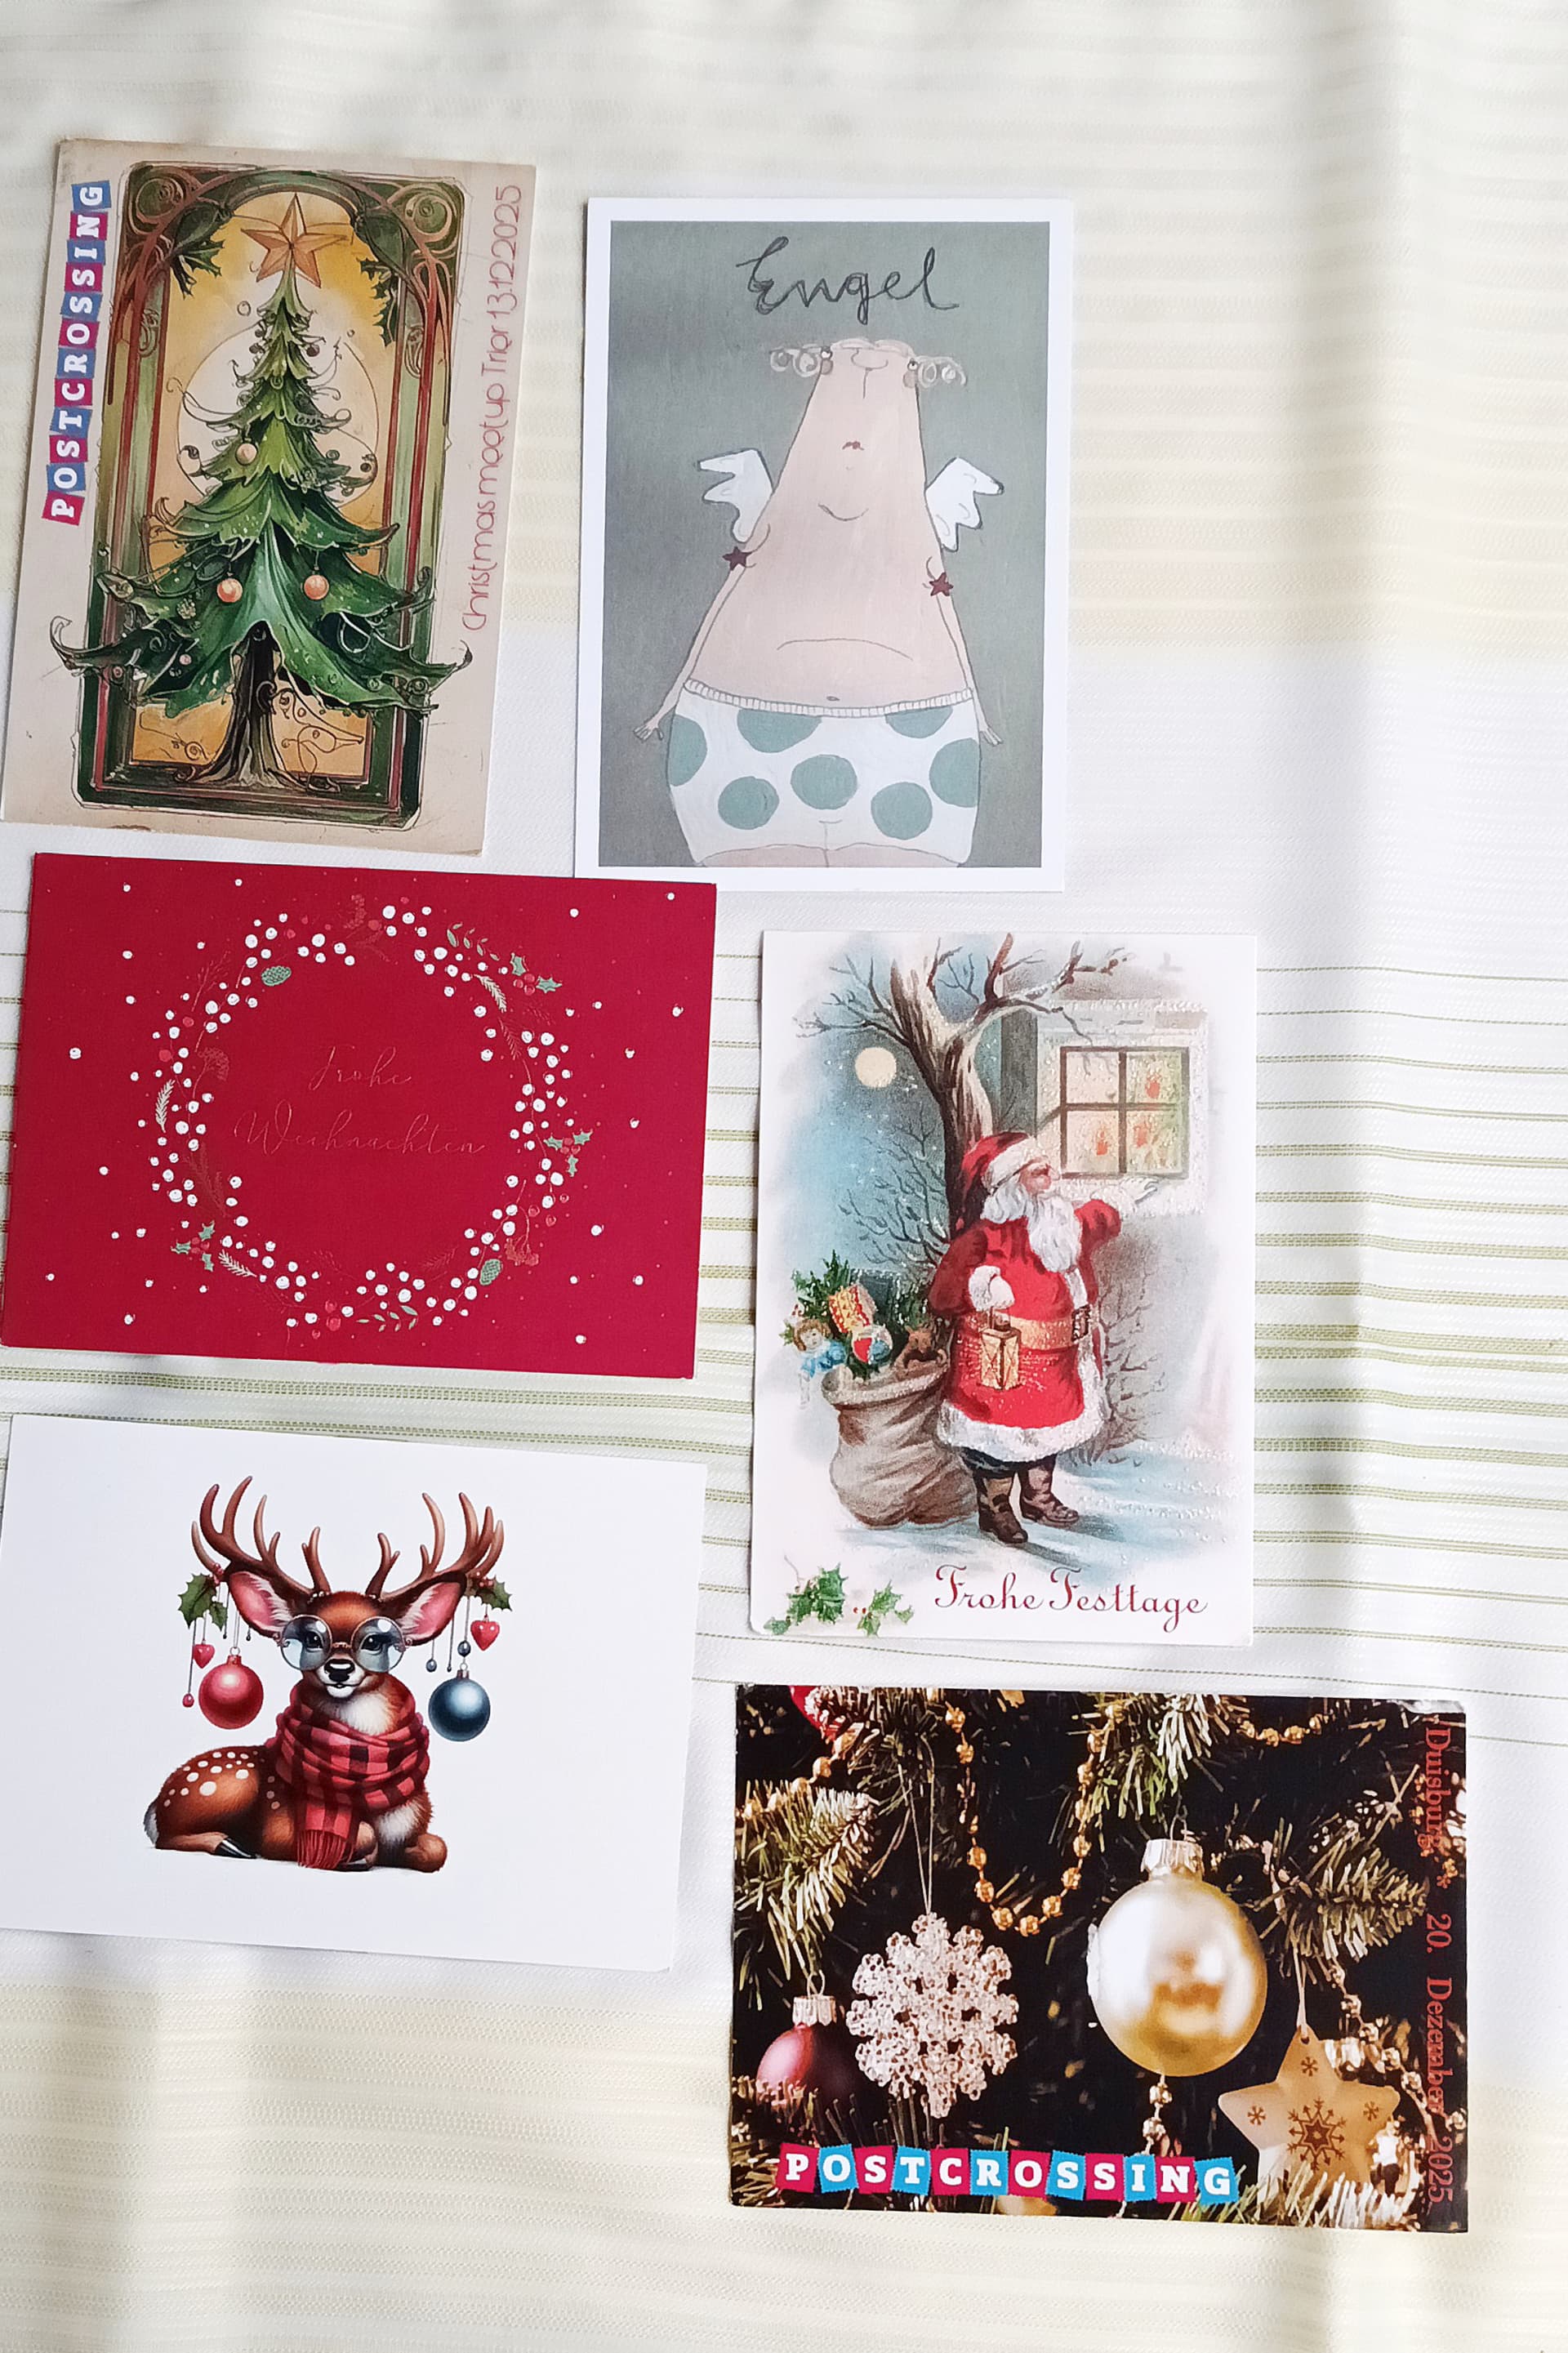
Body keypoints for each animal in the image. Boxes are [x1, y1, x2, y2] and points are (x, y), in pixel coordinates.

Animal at [145, 1478, 503, 1872]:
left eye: (375, 1640)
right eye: (311, 1638)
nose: (339, 1669)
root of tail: (154, 1806)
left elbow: (436, 1848)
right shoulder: (280, 1827)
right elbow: (360, 1835)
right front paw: (354, 1857)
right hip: (226, 1783)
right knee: (166, 1837)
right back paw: (230, 1844)